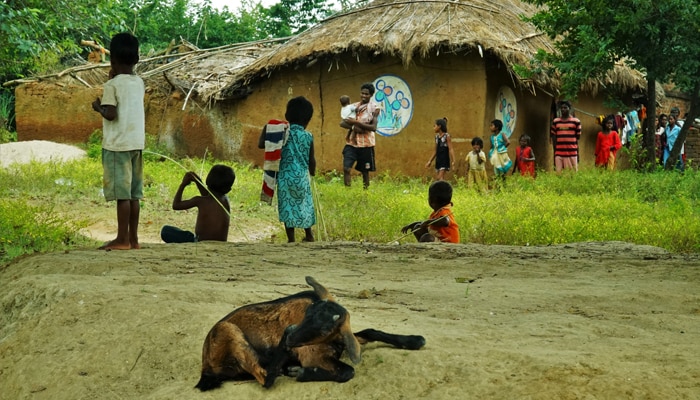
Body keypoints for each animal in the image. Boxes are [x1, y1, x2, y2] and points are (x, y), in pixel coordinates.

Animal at [196, 276, 426, 390]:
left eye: (324, 327)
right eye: (307, 314)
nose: (291, 337)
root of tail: (206, 366)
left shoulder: (343, 336)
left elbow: (370, 331)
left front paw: (415, 340)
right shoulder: (311, 354)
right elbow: (349, 371)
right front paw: (303, 372)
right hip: (228, 330)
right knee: (266, 380)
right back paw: (286, 365)